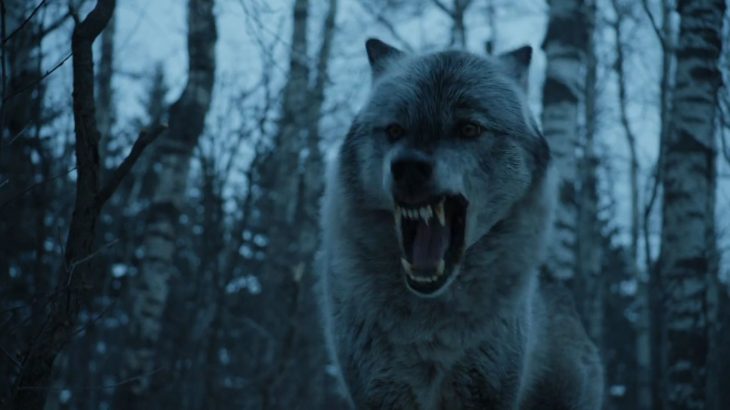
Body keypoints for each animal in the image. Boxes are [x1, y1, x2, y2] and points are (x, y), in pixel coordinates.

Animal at [319, 38, 603, 410]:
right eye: (395, 130)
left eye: (469, 129)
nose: (408, 167)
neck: (430, 325)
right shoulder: (378, 391)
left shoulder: (486, 391)